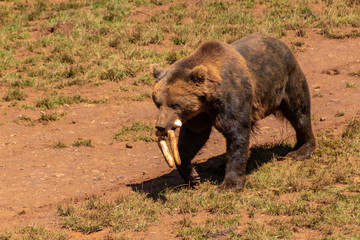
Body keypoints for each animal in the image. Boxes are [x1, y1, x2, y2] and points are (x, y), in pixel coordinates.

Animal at [151, 33, 316, 191]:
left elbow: (236, 135)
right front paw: (192, 176)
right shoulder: (199, 114)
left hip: (287, 81)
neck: (210, 99)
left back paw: (300, 150)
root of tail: (280, 42)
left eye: (175, 104)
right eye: (157, 102)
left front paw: (229, 184)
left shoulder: (232, 98)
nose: (160, 126)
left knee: (299, 113)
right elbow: (192, 138)